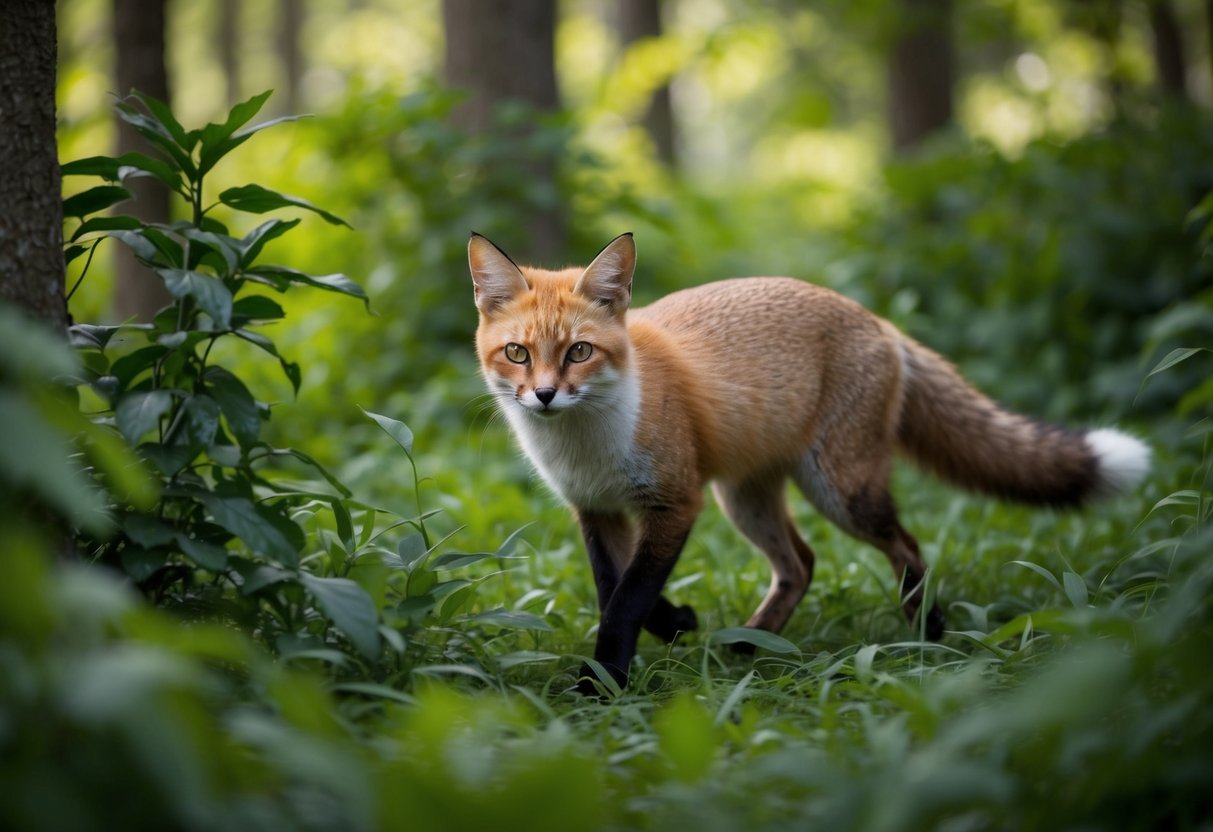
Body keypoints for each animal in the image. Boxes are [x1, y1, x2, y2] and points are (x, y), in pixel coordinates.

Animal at [468, 231, 1151, 694]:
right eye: (518, 354)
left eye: (579, 352)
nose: (545, 395)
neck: (586, 445)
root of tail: (879, 320)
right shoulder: (597, 509)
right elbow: (617, 590)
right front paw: (677, 625)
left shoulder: (675, 500)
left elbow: (629, 600)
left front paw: (601, 683)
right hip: (745, 501)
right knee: (801, 564)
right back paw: (748, 646)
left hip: (840, 493)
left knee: (906, 546)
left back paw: (927, 635)